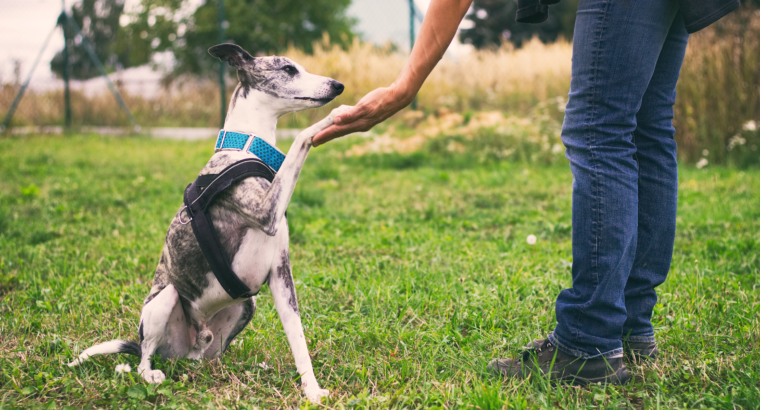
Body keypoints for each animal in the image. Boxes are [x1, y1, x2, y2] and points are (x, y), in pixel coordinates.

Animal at [68, 43, 348, 402]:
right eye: (288, 69)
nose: (337, 86)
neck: (246, 148)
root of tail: (186, 347)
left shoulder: (280, 273)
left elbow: (298, 338)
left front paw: (311, 390)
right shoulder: (266, 211)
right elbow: (301, 136)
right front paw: (336, 115)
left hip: (246, 306)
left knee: (205, 359)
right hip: (165, 299)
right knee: (144, 357)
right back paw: (151, 373)